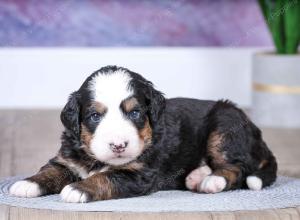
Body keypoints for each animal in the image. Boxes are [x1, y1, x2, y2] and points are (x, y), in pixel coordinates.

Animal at [8, 65, 276, 203]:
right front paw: (27, 183)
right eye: (95, 116)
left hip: (224, 126)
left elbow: (107, 177)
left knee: (238, 167)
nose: (118, 145)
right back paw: (196, 176)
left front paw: (78, 189)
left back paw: (212, 181)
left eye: (135, 112)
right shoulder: (67, 159)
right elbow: (51, 170)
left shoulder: (138, 173)